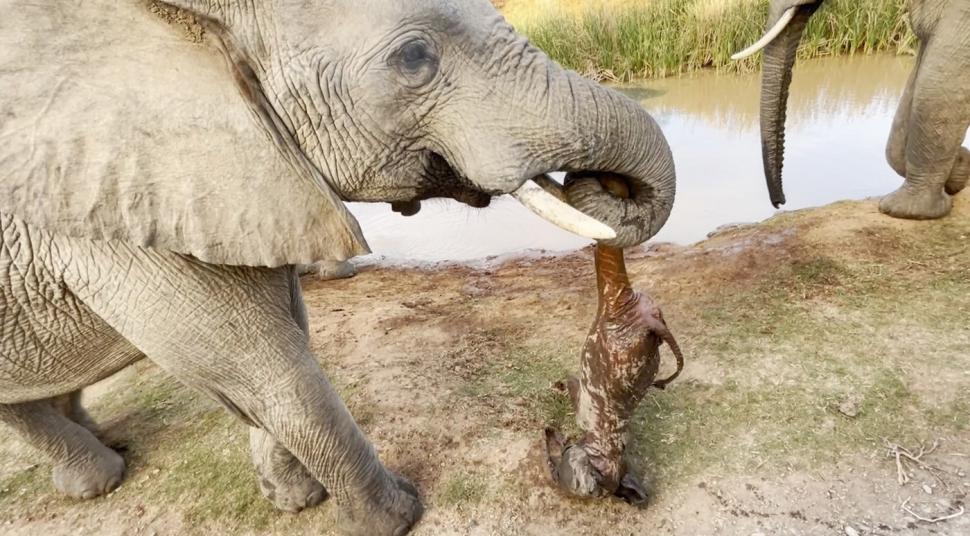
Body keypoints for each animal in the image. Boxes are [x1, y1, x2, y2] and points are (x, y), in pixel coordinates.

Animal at [0, 1, 676, 535]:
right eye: (413, 58)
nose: (605, 183)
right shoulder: (109, 209)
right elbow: (259, 363)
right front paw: (398, 516)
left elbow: (280, 339)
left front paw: (295, 500)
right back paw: (100, 480)